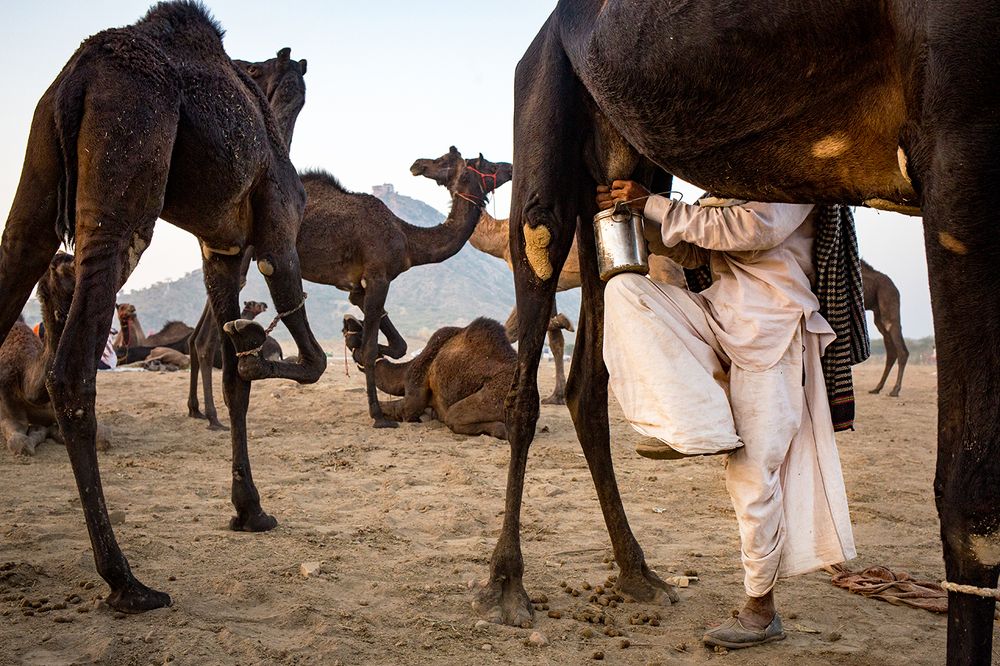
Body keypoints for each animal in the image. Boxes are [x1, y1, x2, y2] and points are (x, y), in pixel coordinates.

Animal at [188, 299, 283, 430]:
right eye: (254, 304)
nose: (265, 304)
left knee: (192, 339)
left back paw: (195, 410)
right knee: (202, 343)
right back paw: (213, 420)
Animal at [415, 155, 684, 404]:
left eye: (444, 161)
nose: (418, 164)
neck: (500, 238)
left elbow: (517, 329)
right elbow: (554, 339)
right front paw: (558, 394)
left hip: (663, 264)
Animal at [862, 260, 908, 397]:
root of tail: (894, 286)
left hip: (887, 297)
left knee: (900, 350)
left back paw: (895, 390)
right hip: (878, 312)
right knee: (892, 352)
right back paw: (877, 388)